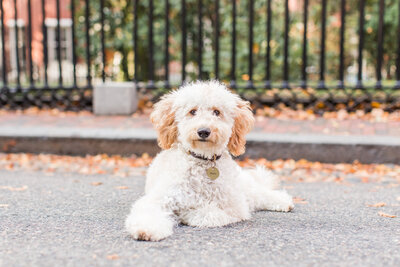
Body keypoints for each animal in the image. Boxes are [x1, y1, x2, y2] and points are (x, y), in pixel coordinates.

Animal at [125, 80, 294, 242]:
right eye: (192, 111)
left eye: (216, 112)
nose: (204, 131)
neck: (203, 162)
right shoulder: (159, 198)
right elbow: (148, 212)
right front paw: (146, 229)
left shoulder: (234, 208)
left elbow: (208, 213)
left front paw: (186, 213)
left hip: (242, 187)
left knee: (260, 194)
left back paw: (283, 201)